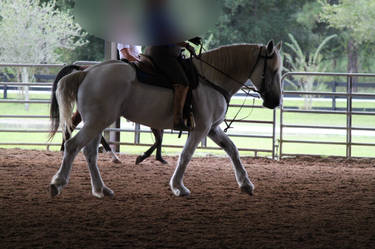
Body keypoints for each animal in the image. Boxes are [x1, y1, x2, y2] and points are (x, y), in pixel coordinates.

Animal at [50, 41, 284, 199]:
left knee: (89, 153)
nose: (275, 101)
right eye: (273, 70)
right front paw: (178, 187)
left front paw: (246, 184)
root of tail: (87, 71)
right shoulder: (201, 129)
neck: (211, 78)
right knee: (72, 146)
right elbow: (186, 155)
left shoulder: (212, 129)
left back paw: (101, 189)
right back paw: (58, 183)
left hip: (98, 123)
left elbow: (233, 150)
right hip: (96, 122)